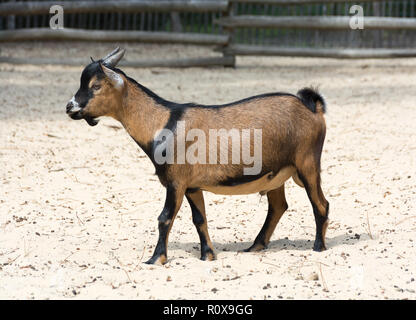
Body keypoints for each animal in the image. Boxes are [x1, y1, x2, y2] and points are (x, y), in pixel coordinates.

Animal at [66, 47, 332, 262]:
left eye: (96, 86)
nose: (70, 107)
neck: (163, 122)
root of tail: (313, 107)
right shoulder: (192, 186)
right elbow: (199, 219)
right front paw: (208, 255)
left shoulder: (176, 182)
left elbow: (164, 218)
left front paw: (155, 259)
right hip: (276, 174)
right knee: (278, 206)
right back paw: (255, 246)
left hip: (307, 164)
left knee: (320, 203)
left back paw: (318, 247)